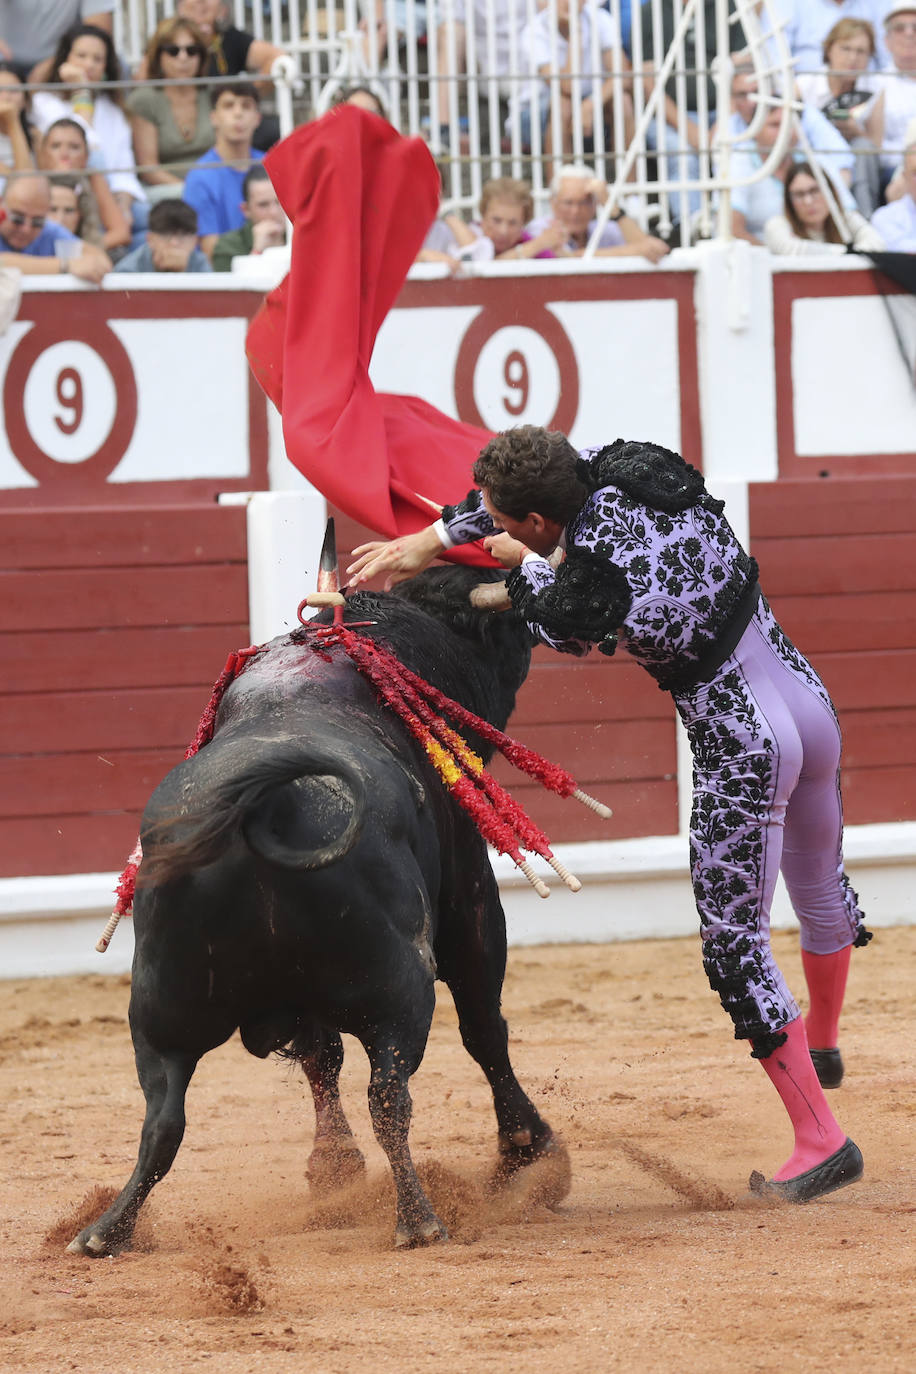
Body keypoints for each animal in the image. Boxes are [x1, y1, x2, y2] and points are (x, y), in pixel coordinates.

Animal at [71, 563, 568, 1253]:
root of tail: (262, 802)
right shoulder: (469, 895)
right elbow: (483, 1027)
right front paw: (528, 1151)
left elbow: (318, 1055)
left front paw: (332, 1170)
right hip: (397, 990)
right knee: (389, 1094)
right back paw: (419, 1219)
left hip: (161, 1012)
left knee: (163, 1120)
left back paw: (106, 1231)